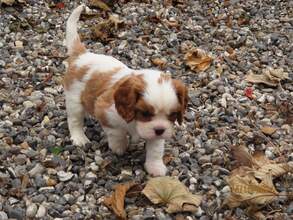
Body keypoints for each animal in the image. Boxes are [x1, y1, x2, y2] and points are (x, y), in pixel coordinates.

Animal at [63, 4, 188, 177]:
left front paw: (155, 167)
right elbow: (117, 133)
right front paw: (119, 146)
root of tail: (82, 55)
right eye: (145, 113)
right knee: (74, 120)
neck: (135, 123)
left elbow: (155, 149)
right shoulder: (104, 111)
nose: (160, 130)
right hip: (74, 100)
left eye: (172, 115)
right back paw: (79, 138)